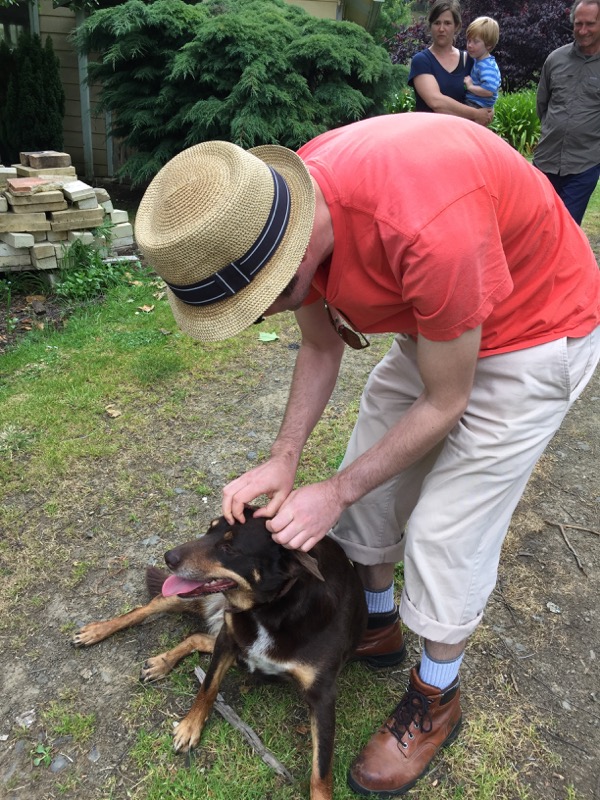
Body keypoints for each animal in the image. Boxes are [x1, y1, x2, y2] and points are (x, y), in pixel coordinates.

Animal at [72, 512, 368, 800]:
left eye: (228, 548)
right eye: (209, 529)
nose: (168, 556)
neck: (269, 608)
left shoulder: (322, 696)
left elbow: (321, 769)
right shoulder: (227, 641)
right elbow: (208, 687)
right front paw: (190, 727)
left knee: (197, 637)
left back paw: (162, 661)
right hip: (187, 598)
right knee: (145, 609)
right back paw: (97, 632)